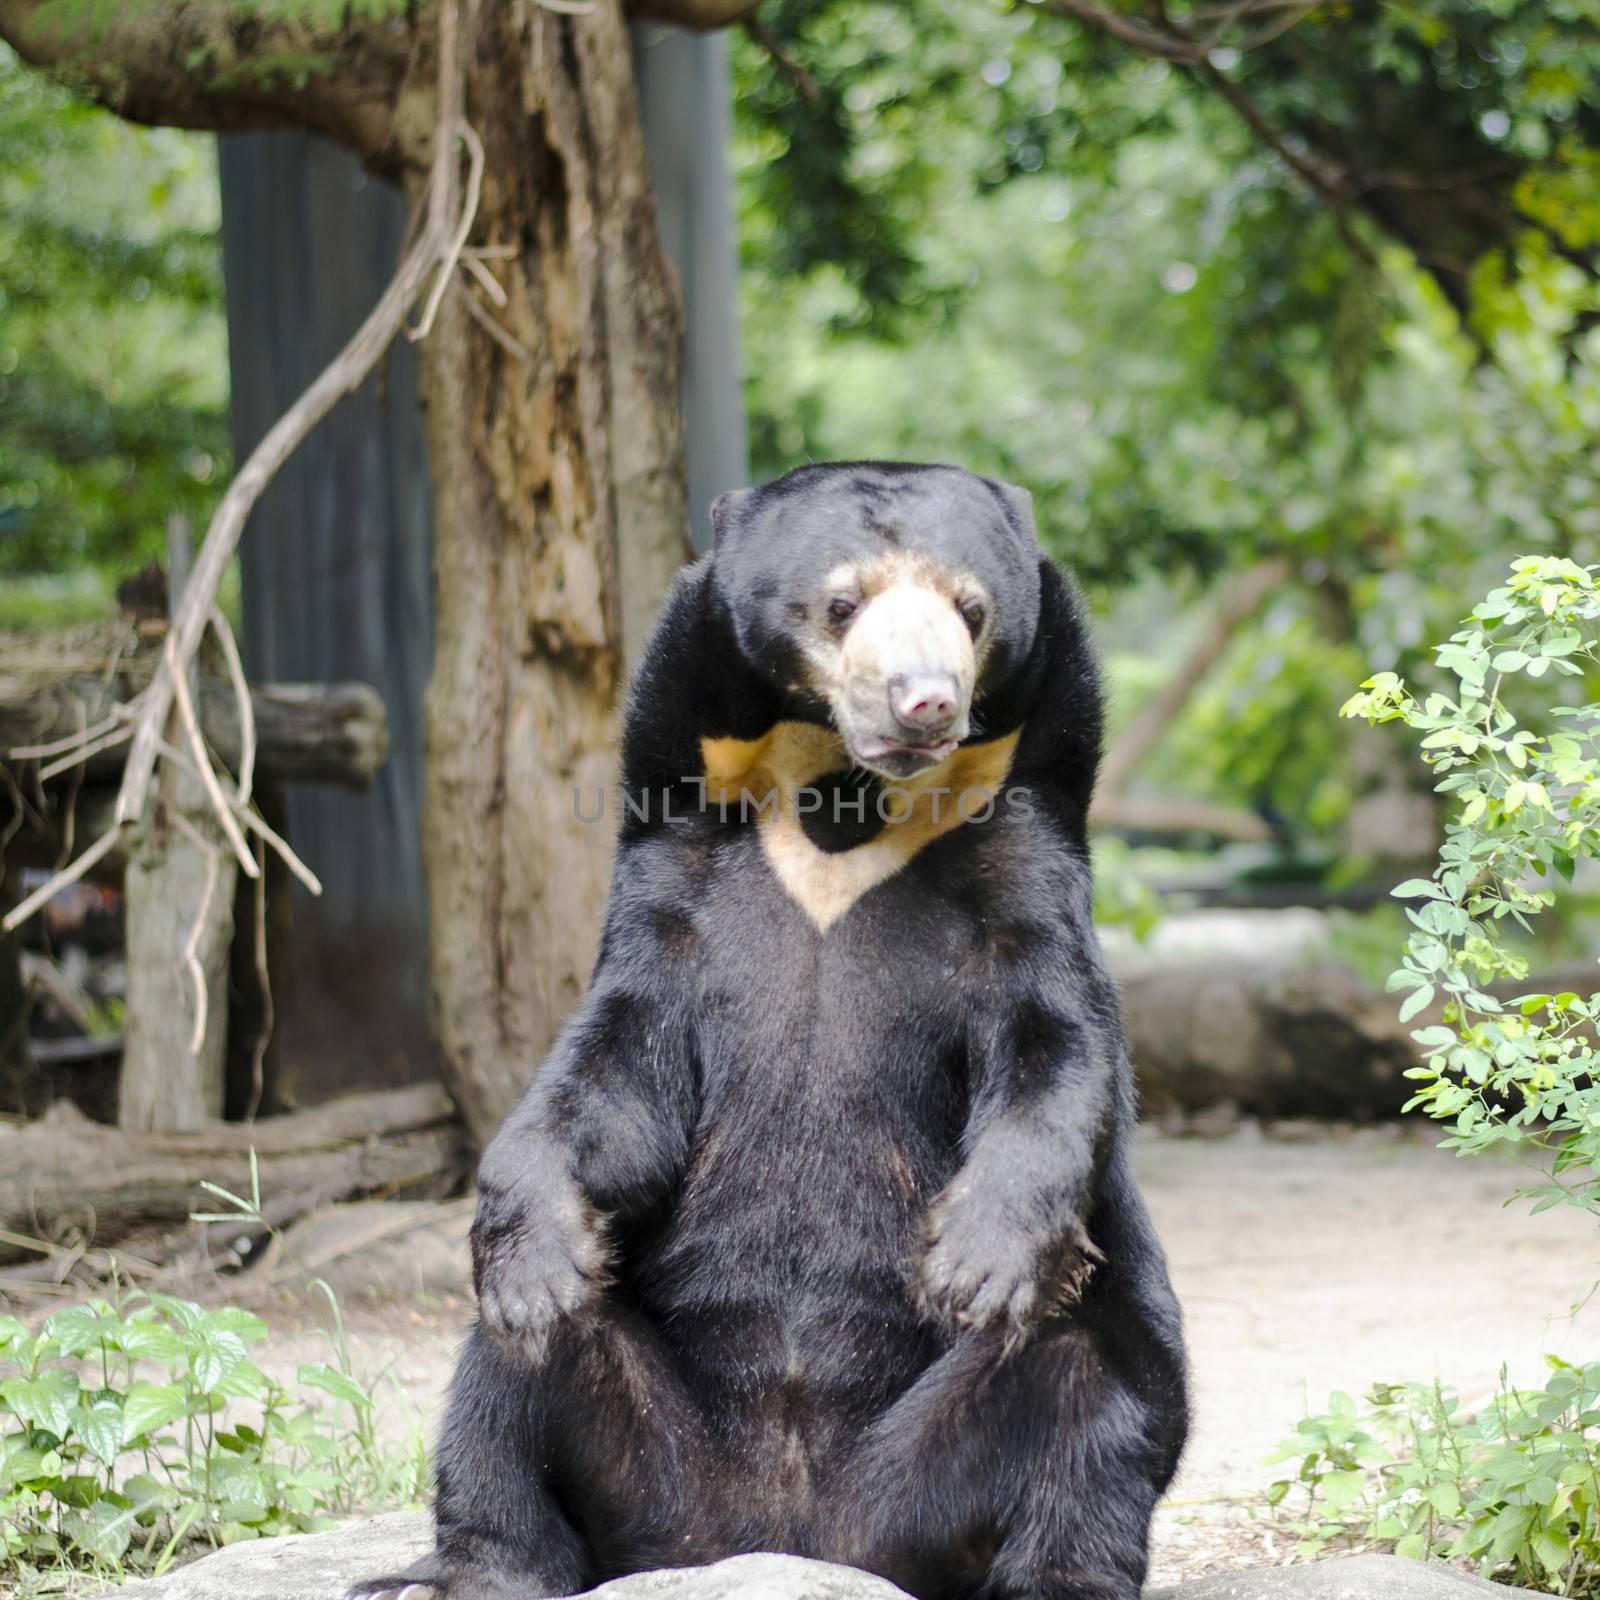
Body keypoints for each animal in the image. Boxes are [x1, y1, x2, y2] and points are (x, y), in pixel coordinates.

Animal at [360, 460, 1190, 1600]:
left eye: (971, 609)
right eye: (842, 603)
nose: (925, 700)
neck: (841, 803)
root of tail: (784, 1535)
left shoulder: (1021, 860)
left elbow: (1054, 1044)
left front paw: (975, 1261)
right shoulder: (680, 872)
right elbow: (614, 1074)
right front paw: (536, 1239)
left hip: (945, 1466)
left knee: (1088, 1386)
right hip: (653, 1457)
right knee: (510, 1369)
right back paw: (466, 1559)